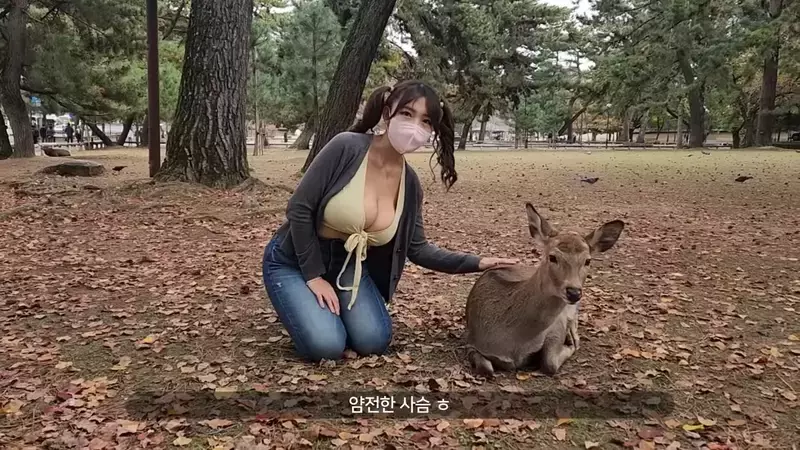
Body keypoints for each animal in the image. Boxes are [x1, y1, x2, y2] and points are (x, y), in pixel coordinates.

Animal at [463, 202, 624, 378]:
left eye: (588, 260)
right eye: (552, 257)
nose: (574, 292)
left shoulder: (556, 326)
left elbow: (550, 363)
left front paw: (572, 341)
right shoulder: (472, 343)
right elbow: (486, 369)